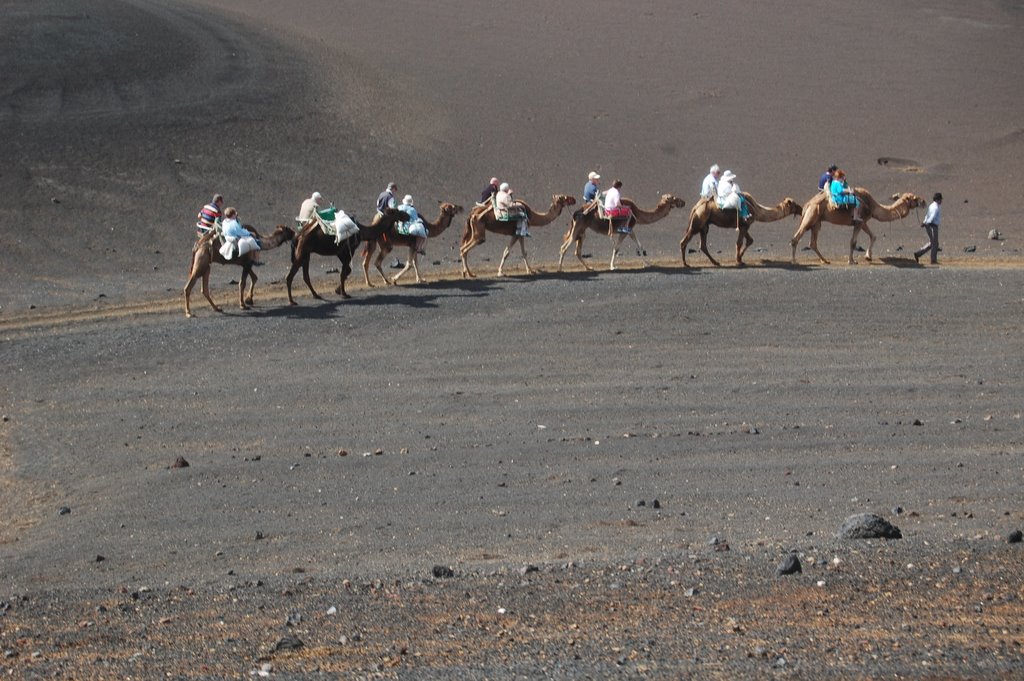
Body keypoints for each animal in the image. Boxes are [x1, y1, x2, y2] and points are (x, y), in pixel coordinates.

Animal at [786, 191, 925, 266]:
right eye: (914, 198)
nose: (923, 201)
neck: (873, 206)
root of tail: (807, 204)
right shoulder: (859, 222)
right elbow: (853, 242)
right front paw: (852, 261)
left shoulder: (863, 222)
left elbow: (873, 236)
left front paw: (868, 257)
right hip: (812, 215)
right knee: (796, 238)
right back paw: (794, 261)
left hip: (816, 222)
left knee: (813, 243)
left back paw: (825, 260)